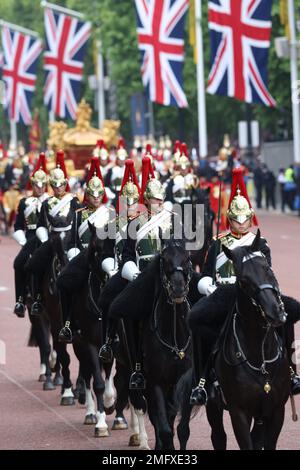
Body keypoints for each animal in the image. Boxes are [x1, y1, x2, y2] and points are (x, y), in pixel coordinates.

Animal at [177, 231, 292, 452]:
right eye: (244, 280)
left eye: (267, 268)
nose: (275, 313)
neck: (259, 354)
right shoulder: (239, 412)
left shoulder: (275, 411)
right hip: (213, 404)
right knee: (218, 437)